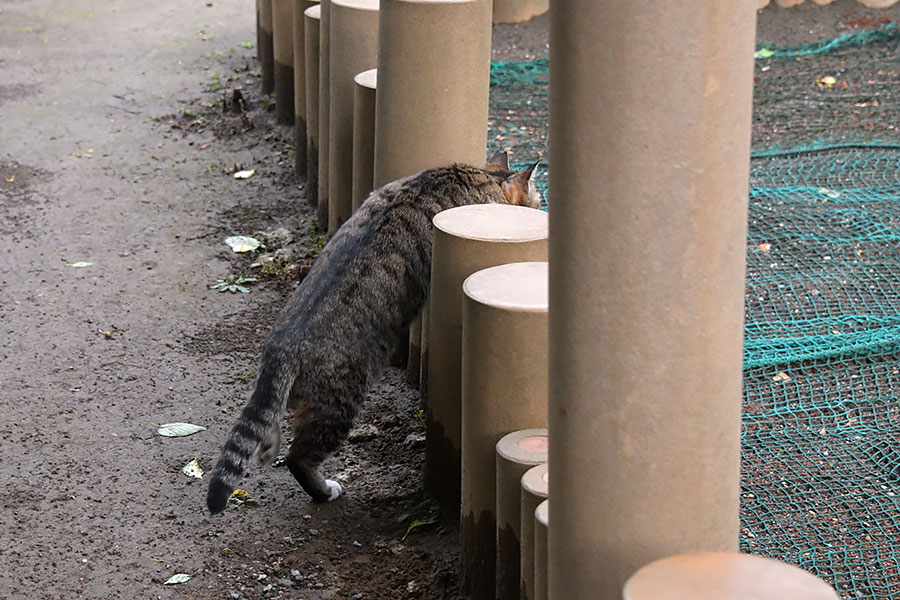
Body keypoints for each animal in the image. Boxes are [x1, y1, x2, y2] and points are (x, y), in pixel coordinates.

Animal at [206, 152, 540, 512]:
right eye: (537, 201)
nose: (541, 207)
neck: (480, 176)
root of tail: (282, 351)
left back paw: (268, 446)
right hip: (339, 404)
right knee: (298, 457)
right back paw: (323, 489)